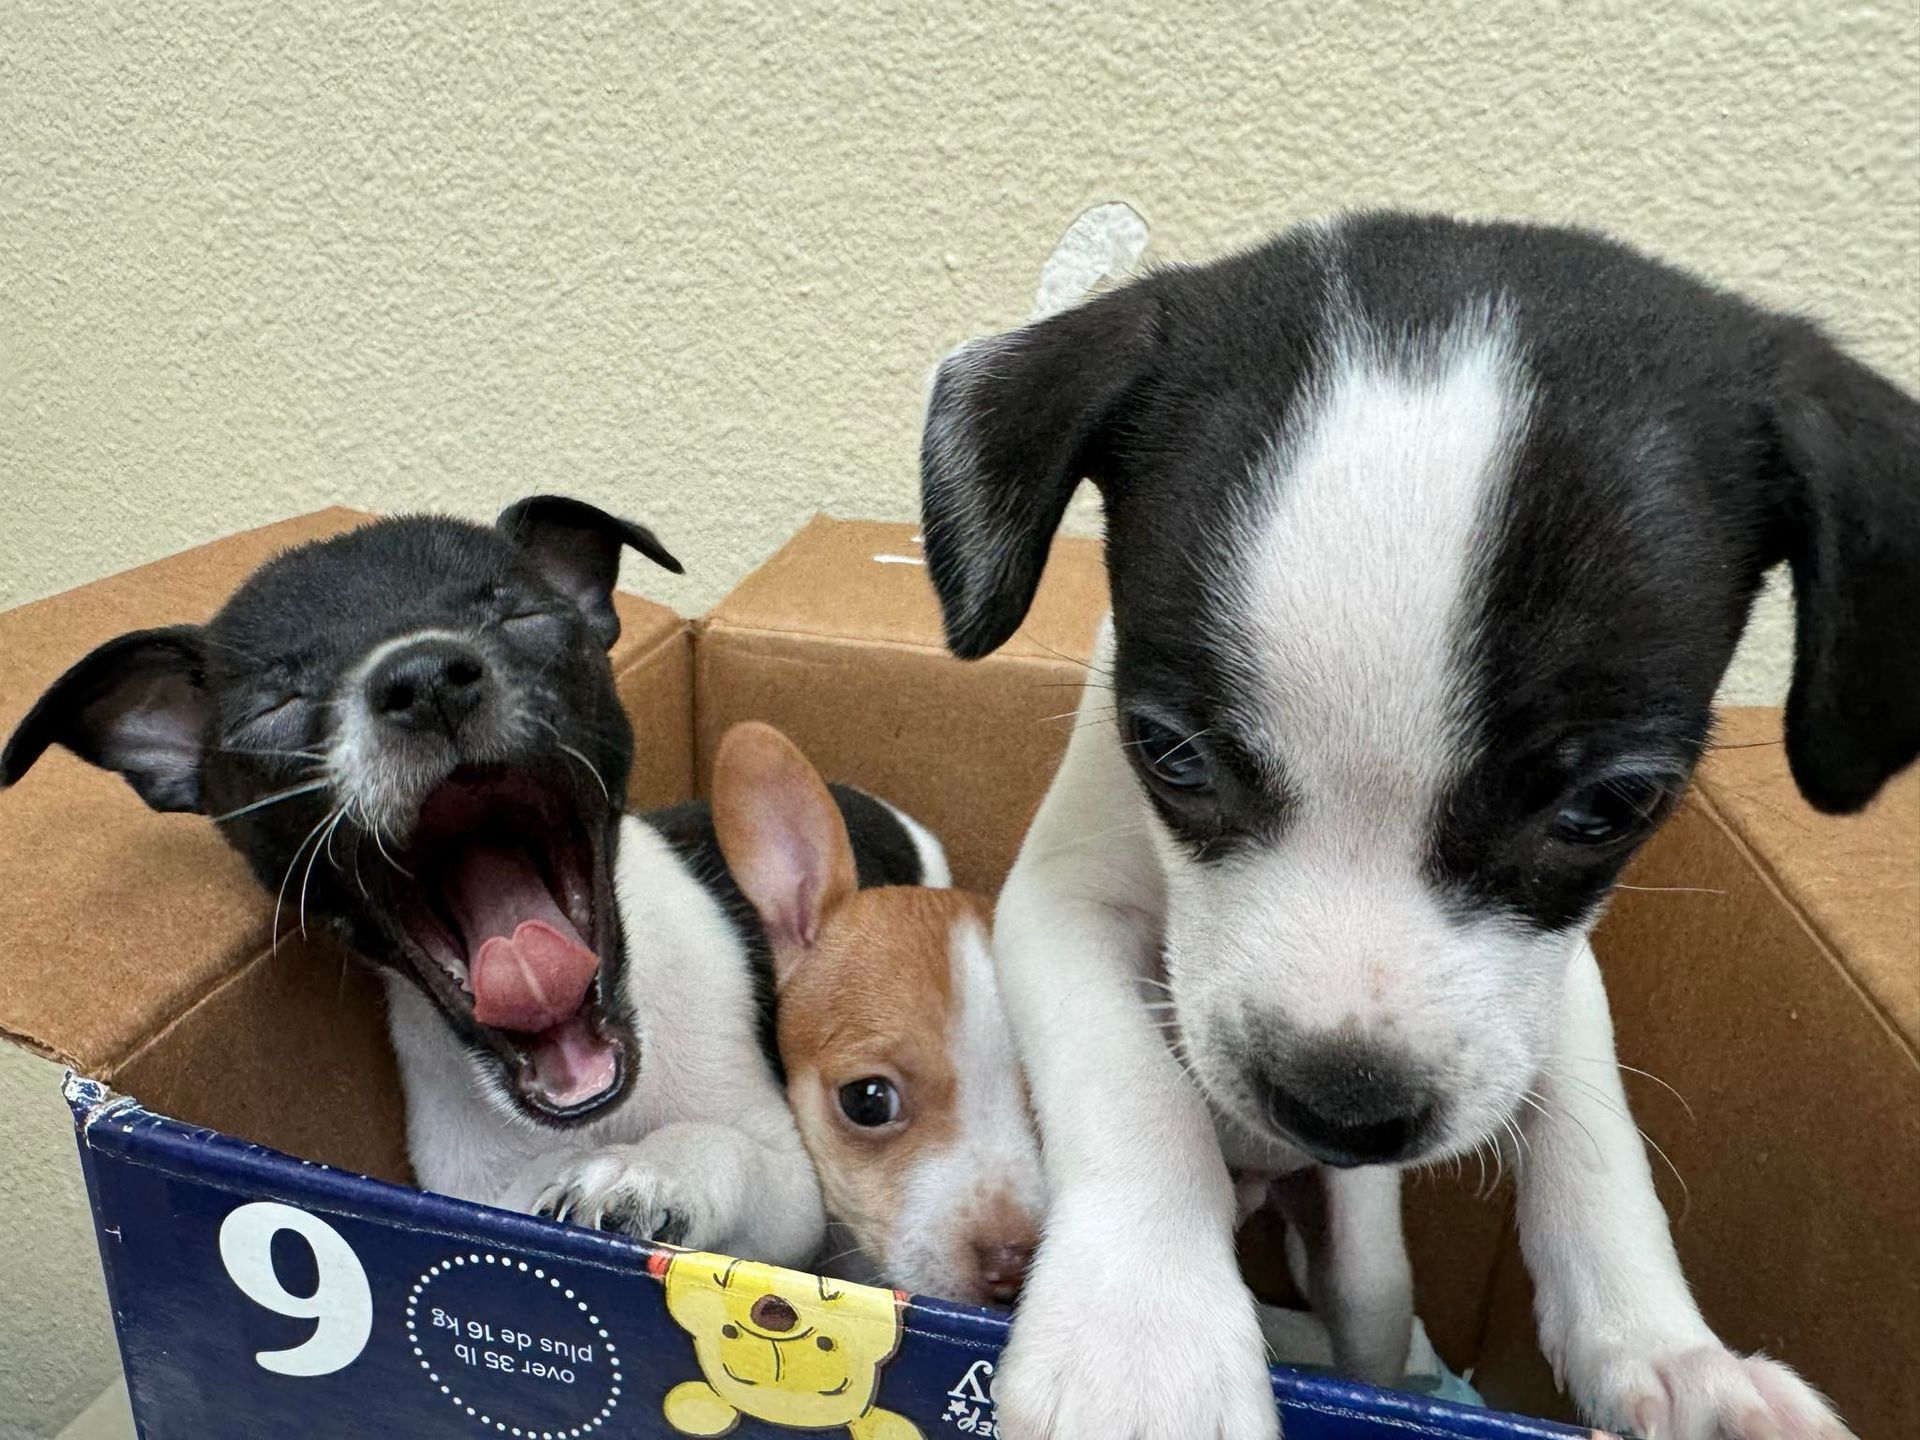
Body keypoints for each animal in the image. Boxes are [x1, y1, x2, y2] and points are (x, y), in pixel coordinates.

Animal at [0, 503, 944, 1267]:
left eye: (527, 617)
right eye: (273, 709)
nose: (422, 678)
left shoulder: (793, 1189)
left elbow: (721, 1149)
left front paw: (644, 1173)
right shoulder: (472, 1190)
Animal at [913, 214, 1904, 1440]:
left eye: (1606, 807)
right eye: (1171, 753)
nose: (1340, 1107)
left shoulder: (1561, 974)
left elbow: (1599, 1144)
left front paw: (1674, 1355)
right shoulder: (1060, 904)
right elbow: (1132, 1086)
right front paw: (1144, 1339)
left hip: (1370, 1269)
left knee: (1373, 1324)